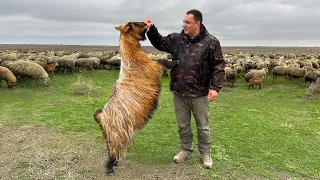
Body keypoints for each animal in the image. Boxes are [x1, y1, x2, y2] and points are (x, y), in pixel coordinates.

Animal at [92, 20, 162, 174]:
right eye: (133, 24)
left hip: (109, 137)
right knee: (113, 153)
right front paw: (175, 61)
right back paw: (111, 169)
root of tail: (100, 116)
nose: (146, 24)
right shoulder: (154, 68)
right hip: (116, 135)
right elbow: (163, 62)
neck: (132, 56)